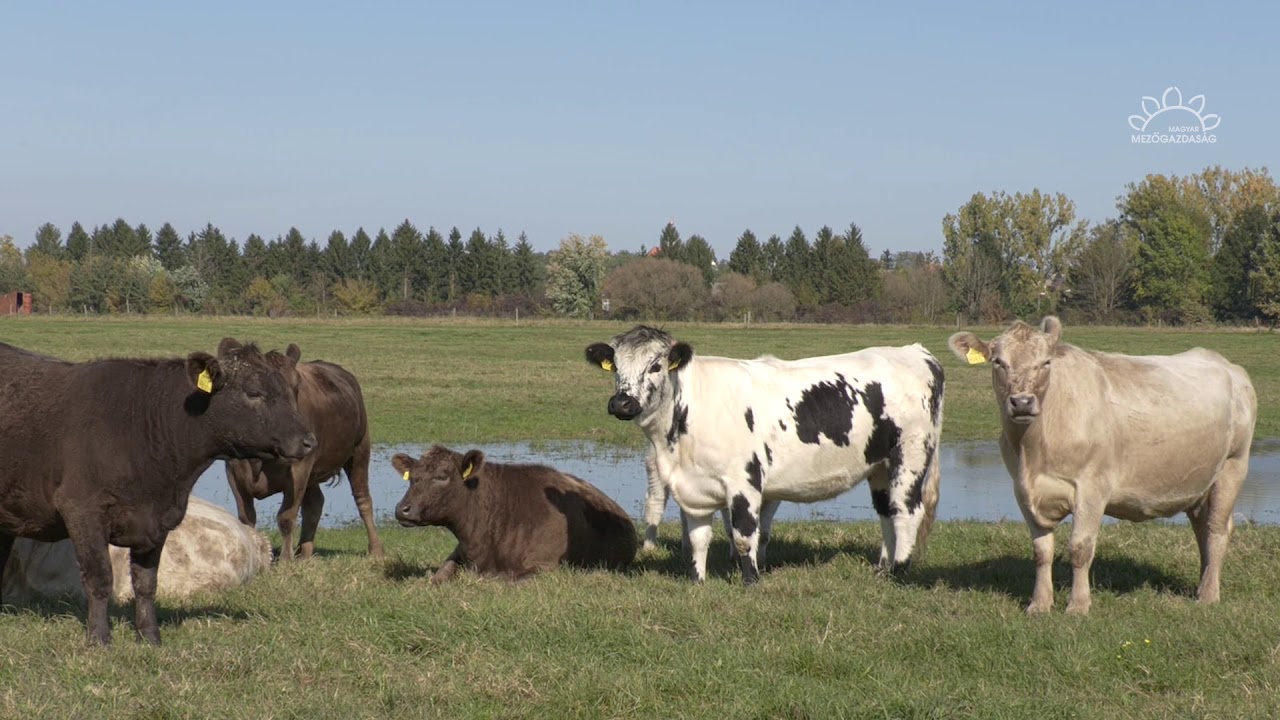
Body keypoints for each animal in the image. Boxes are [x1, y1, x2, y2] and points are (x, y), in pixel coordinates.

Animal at [222, 343, 381, 561]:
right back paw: (304, 553)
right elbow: (246, 519)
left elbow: (286, 517)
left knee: (363, 499)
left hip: (360, 449)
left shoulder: (299, 468)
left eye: (296, 387)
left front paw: (285, 560)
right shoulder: (234, 471)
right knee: (315, 503)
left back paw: (376, 550)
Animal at [586, 325, 947, 584]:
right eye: (615, 367)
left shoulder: (744, 480)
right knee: (886, 512)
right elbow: (698, 538)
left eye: (656, 365)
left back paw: (899, 570)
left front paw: (750, 579)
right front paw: (697, 581)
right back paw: (882, 567)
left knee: (906, 511)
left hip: (910, 456)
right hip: (880, 467)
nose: (622, 402)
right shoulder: (693, 487)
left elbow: (745, 534)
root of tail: (916, 352)